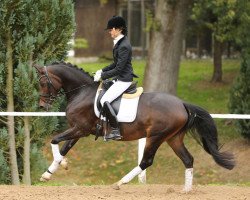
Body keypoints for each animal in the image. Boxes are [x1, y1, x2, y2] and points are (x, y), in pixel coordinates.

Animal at [34, 61, 235, 192]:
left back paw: (120, 183)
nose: (42, 107)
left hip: (155, 137)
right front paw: (48, 173)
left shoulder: (80, 129)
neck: (82, 92)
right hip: (173, 138)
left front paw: (61, 165)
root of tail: (182, 104)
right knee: (188, 159)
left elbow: (55, 141)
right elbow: (64, 148)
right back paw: (186, 190)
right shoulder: (78, 130)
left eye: (43, 83)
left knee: (146, 161)